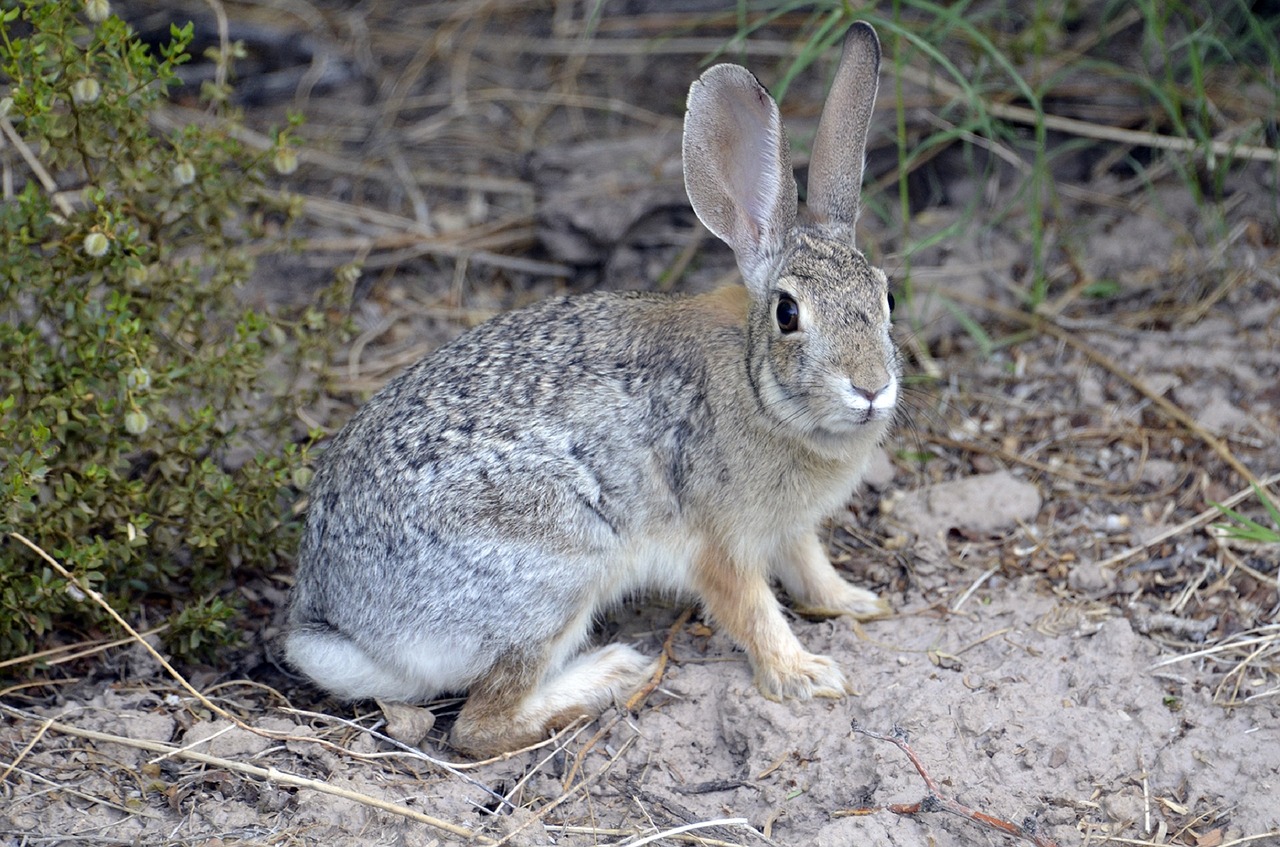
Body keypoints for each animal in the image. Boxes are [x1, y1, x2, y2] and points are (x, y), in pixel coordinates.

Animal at [285, 21, 898, 757]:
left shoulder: (791, 530)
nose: (871, 388)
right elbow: (752, 610)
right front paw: (806, 674)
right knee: (479, 726)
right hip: (557, 573)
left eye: (887, 296)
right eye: (787, 313)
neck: (759, 390)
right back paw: (610, 673)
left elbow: (810, 567)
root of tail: (345, 626)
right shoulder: (720, 542)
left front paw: (858, 602)